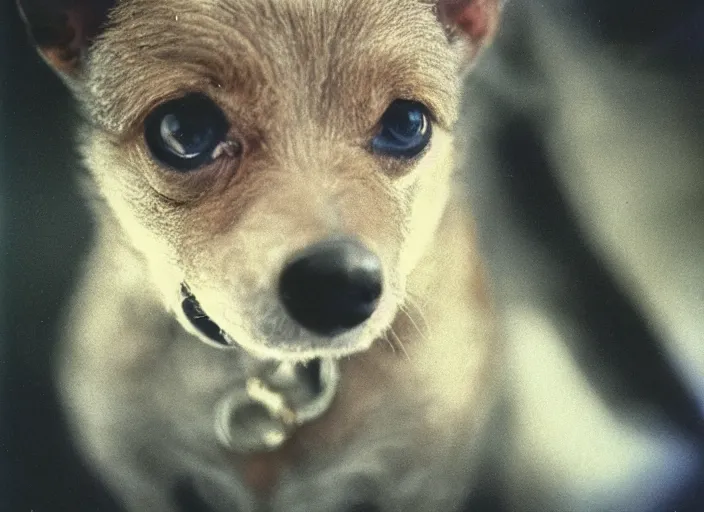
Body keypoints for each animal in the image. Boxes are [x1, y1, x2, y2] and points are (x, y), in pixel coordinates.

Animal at [15, 1, 500, 512]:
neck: (271, 378)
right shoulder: (144, 476)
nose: (337, 285)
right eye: (183, 129)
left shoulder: (421, 481)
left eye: (407, 123)